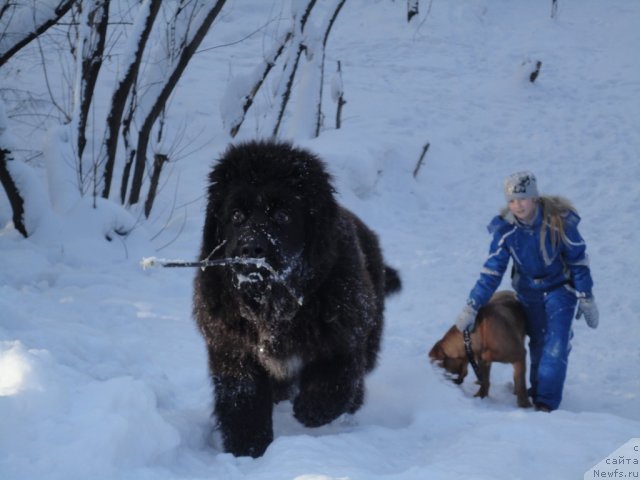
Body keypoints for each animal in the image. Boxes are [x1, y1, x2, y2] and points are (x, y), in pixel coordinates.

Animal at [192, 140, 400, 458]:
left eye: (282, 216)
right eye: (236, 216)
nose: (251, 248)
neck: (272, 303)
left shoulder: (343, 331)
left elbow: (335, 380)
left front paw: (311, 411)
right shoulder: (232, 348)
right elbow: (243, 403)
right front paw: (248, 449)